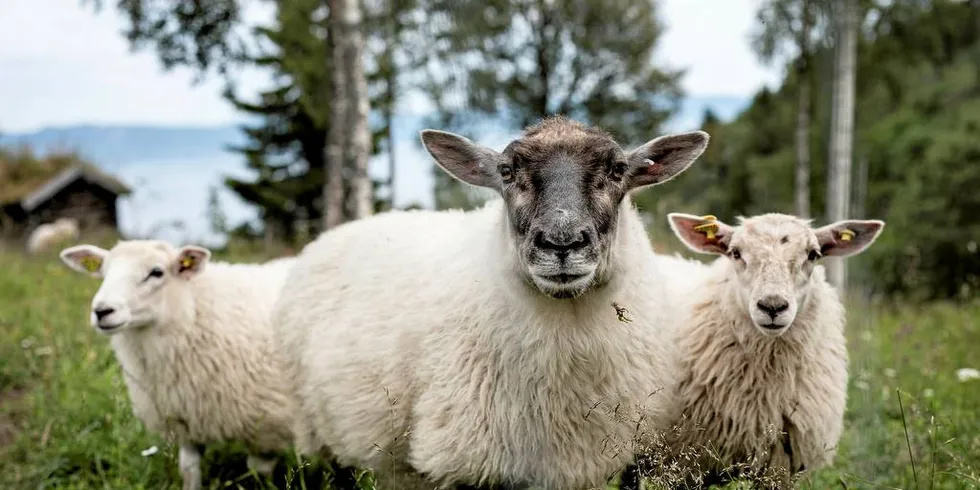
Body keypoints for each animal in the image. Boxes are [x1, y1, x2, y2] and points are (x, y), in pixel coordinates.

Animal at [60, 241, 298, 490]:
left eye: (157, 272)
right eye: (104, 272)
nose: (102, 311)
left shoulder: (268, 428)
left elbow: (258, 473)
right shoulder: (184, 416)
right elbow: (189, 469)